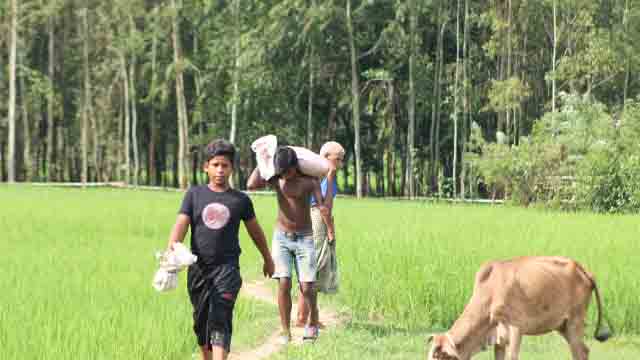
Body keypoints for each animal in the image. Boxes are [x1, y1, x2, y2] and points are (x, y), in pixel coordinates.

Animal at [424, 256, 608, 360]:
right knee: (583, 351)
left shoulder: (516, 328)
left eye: (438, 356)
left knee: (580, 352)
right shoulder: (498, 339)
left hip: (574, 322)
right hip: (562, 325)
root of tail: (584, 270)